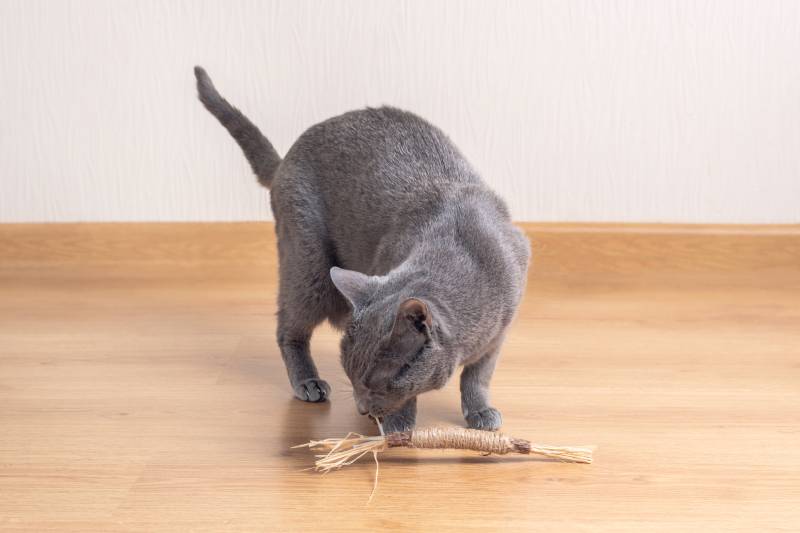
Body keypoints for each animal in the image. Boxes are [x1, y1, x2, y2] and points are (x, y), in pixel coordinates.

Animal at [194, 66, 532, 432]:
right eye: (352, 377)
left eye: (376, 383)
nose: (361, 408)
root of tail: (286, 160)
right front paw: (398, 426)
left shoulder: (498, 333)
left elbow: (478, 375)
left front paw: (480, 412)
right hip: (308, 263)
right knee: (289, 327)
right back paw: (308, 382)